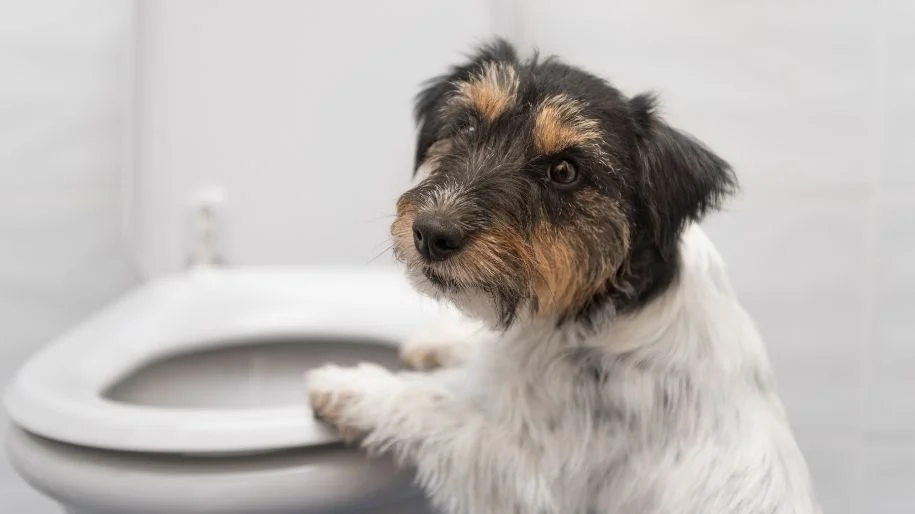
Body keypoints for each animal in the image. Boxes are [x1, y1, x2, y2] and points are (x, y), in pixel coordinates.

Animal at [310, 40, 824, 512]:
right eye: (468, 124)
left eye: (564, 170)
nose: (431, 234)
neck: (607, 304)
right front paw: (441, 340)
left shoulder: (526, 476)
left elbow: (436, 405)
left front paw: (354, 387)